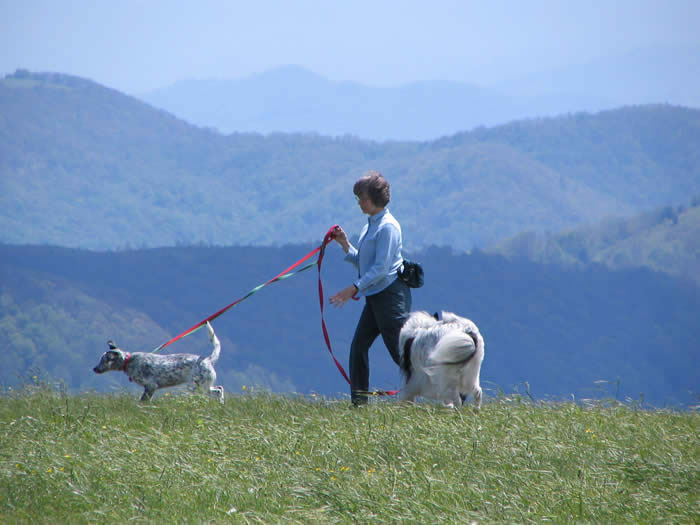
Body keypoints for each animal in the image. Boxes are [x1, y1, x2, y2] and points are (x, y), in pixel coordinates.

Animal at [92, 320, 224, 402]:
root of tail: (208, 359)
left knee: (218, 390)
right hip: (203, 385)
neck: (128, 361)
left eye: (103, 360)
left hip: (198, 386)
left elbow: (142, 402)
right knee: (219, 389)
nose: (94, 369)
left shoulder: (151, 386)